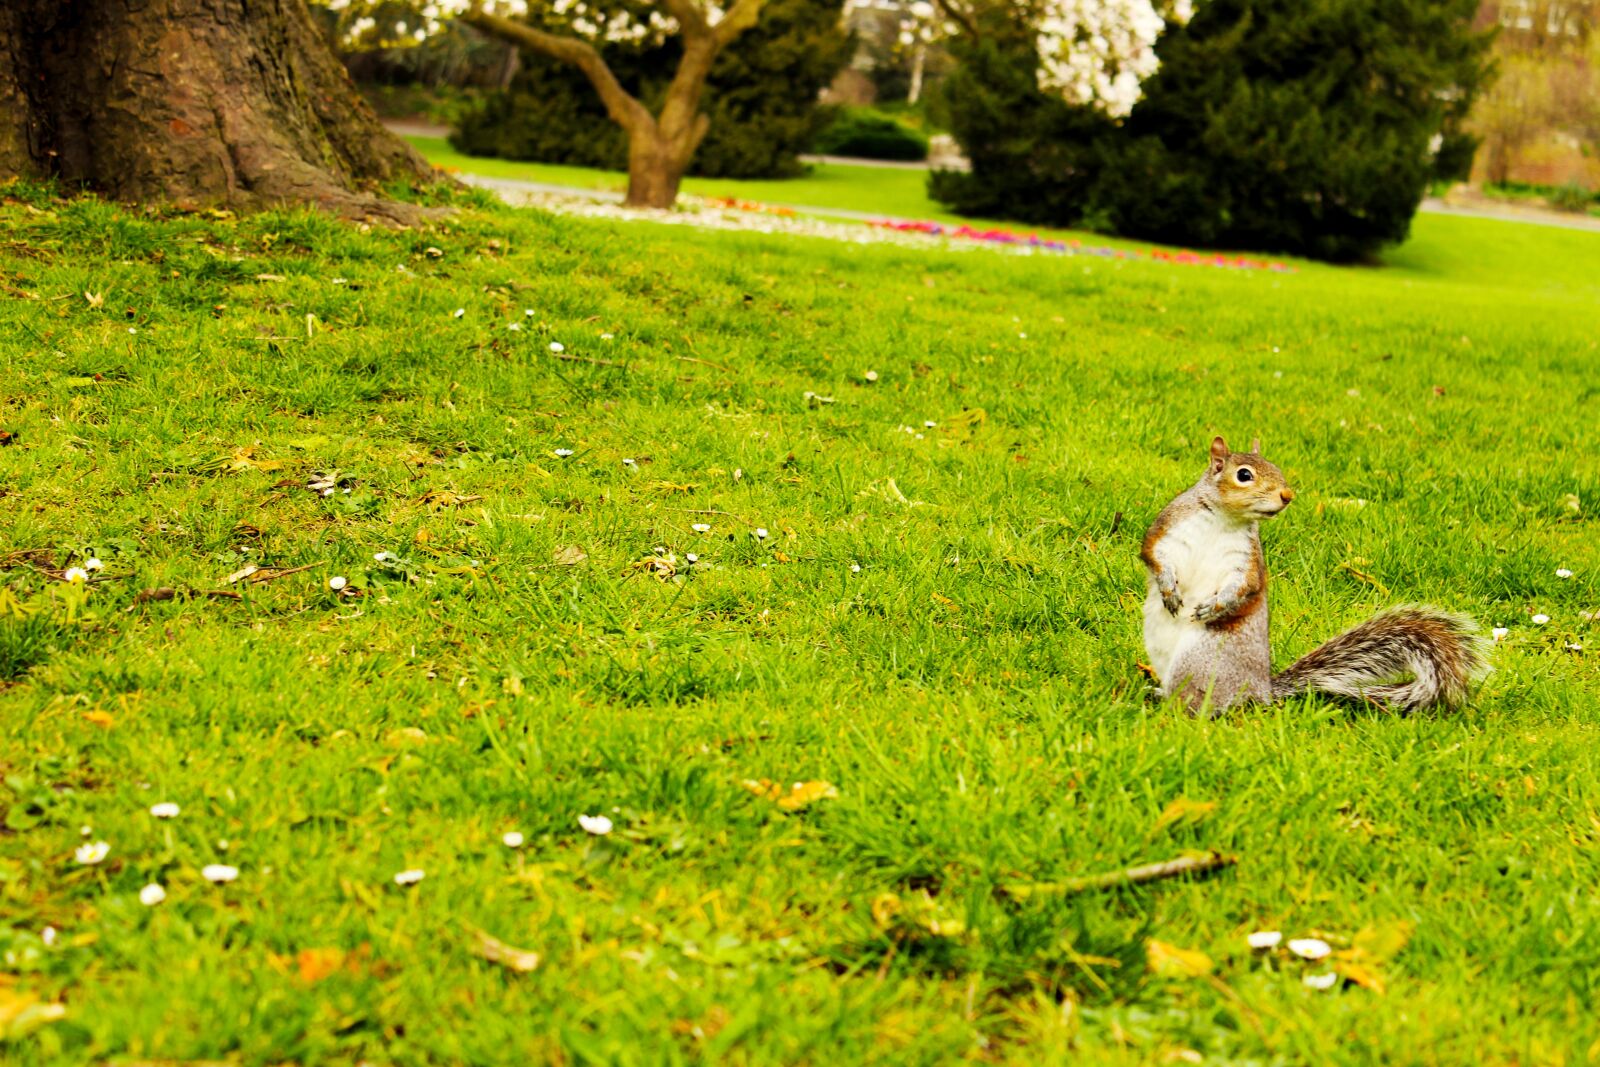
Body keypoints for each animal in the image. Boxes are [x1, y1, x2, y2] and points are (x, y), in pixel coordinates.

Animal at [1140, 436, 1488, 714]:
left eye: (1276, 467)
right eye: (1244, 475)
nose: (1287, 495)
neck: (1225, 518)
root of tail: (1262, 690)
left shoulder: (1246, 560)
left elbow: (1244, 587)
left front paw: (1214, 607)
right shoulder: (1166, 529)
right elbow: (1154, 556)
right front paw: (1168, 589)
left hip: (1202, 661)